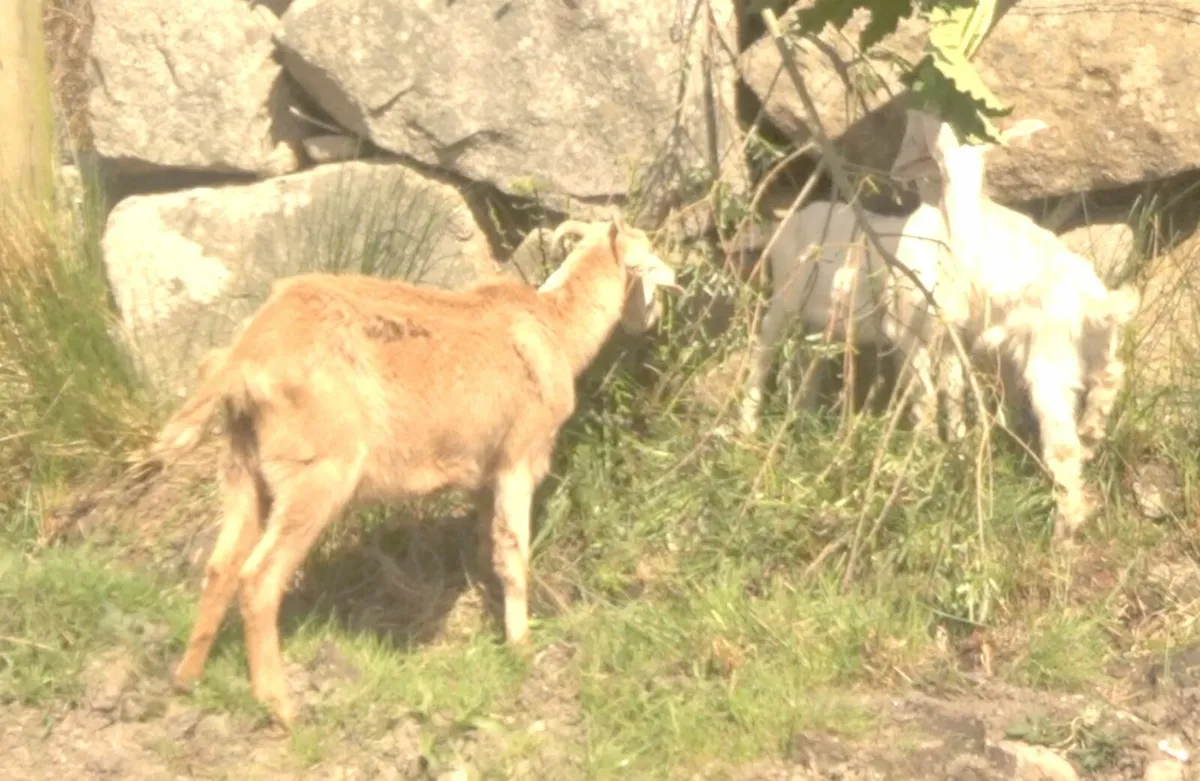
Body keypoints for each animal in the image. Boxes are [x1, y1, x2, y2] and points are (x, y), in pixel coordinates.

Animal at [150, 214, 682, 726]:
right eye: (649, 263)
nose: (656, 316)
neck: (556, 327)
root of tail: (244, 358)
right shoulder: (519, 459)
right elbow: (514, 556)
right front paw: (521, 648)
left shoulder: (484, 471)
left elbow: (486, 546)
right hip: (316, 475)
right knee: (258, 579)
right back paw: (280, 707)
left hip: (243, 470)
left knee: (220, 567)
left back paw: (187, 679)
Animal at [893, 108, 1140, 541]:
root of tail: (1095, 305)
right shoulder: (959, 336)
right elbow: (954, 388)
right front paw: (962, 445)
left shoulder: (926, 328)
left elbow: (926, 395)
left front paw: (926, 452)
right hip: (1097, 352)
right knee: (1110, 379)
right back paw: (1090, 436)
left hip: (1050, 368)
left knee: (1062, 446)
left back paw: (1064, 530)